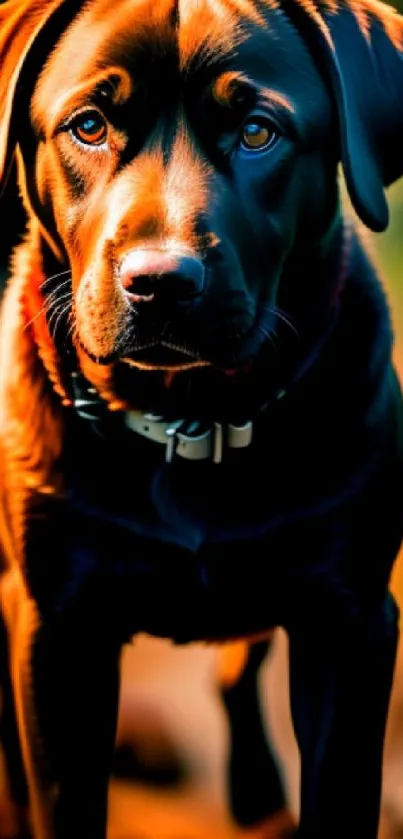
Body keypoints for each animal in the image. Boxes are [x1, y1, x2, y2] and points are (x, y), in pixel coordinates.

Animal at [0, 1, 403, 839]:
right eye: (89, 125)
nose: (158, 281)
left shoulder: (349, 619)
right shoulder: (54, 626)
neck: (188, 417)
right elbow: (57, 791)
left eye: (256, 131)